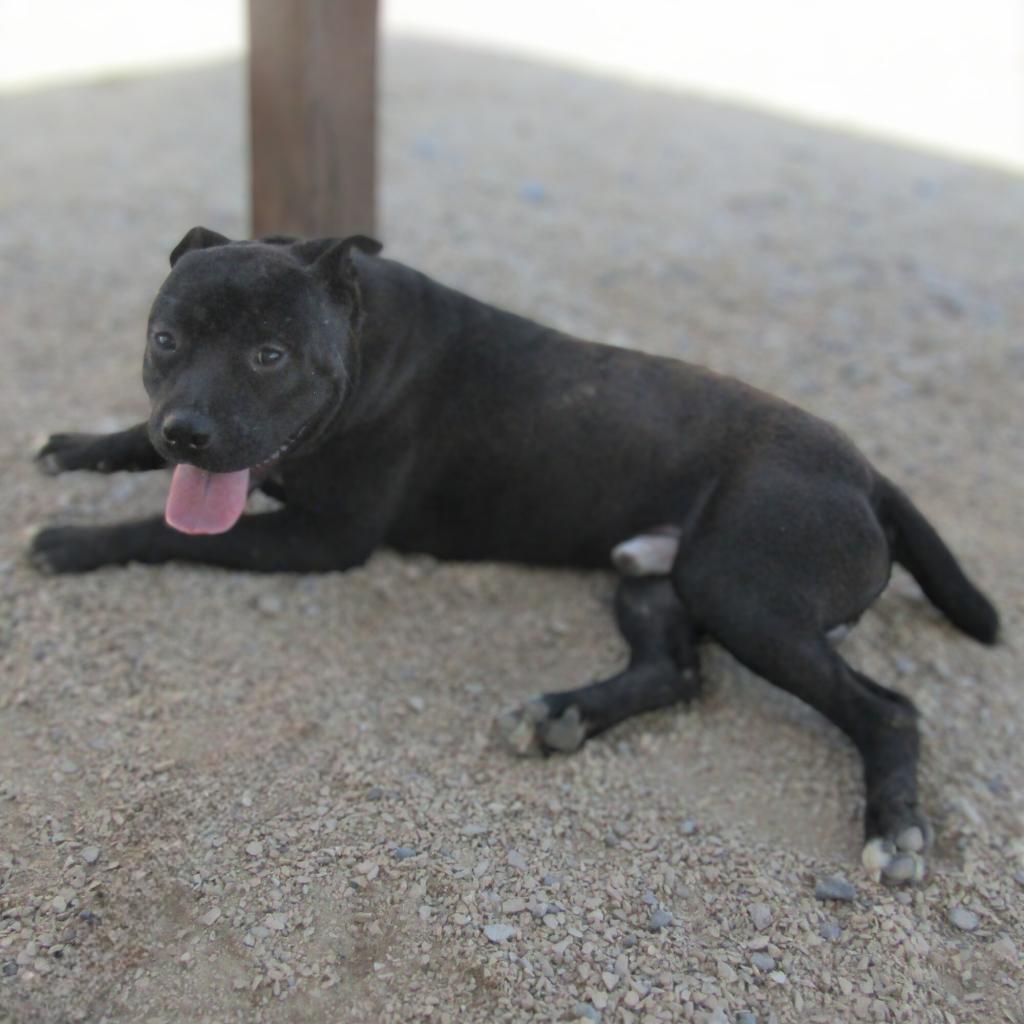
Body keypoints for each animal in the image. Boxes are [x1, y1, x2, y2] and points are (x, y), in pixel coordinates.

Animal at [34, 228, 999, 884]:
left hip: (742, 593)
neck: (362, 332)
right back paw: (561, 715)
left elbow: (166, 529)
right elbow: (139, 450)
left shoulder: (324, 540)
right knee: (677, 671)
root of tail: (869, 475)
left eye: (269, 355)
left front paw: (76, 539)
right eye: (166, 339)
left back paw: (894, 829)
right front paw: (80, 446)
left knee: (887, 710)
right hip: (655, 579)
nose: (188, 428)